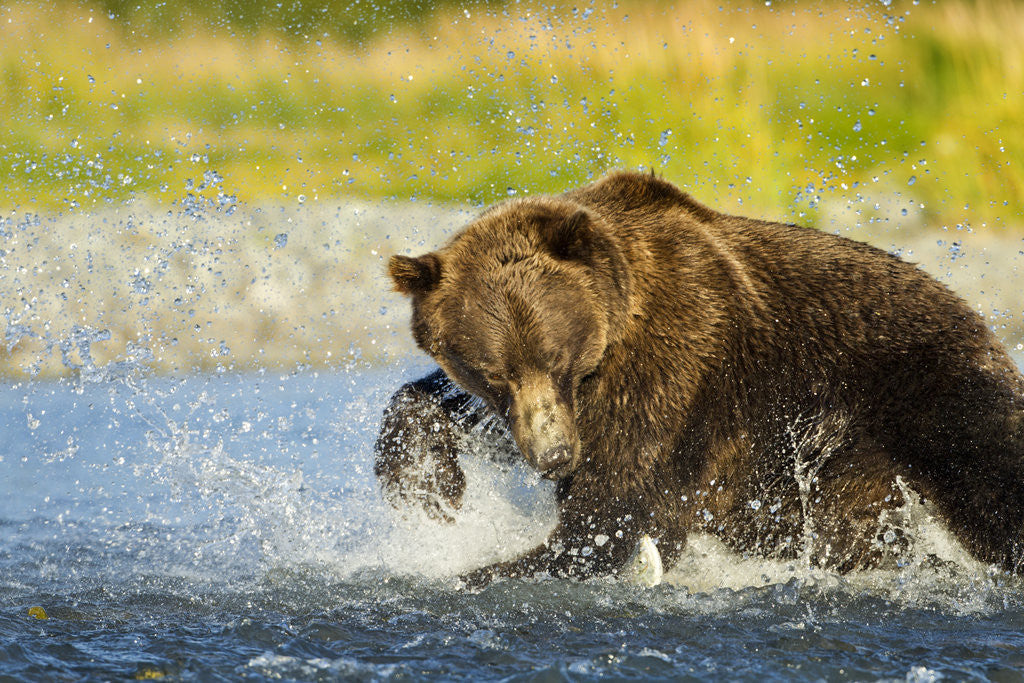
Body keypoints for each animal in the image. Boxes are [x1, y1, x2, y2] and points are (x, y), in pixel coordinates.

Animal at [375, 169, 1024, 585]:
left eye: (558, 358)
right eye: (492, 373)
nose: (554, 457)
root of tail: (979, 320)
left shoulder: (675, 365)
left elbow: (617, 510)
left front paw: (492, 565)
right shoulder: (541, 411)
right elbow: (444, 407)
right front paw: (429, 489)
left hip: (925, 386)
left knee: (988, 479)